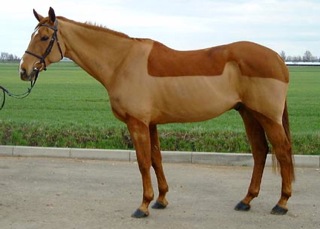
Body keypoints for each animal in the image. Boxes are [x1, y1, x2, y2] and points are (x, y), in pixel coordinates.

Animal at [19, 7, 296, 218]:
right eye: (33, 35)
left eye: (44, 37)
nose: (24, 70)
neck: (122, 62)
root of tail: (278, 59)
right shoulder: (150, 124)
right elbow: (156, 159)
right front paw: (161, 199)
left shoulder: (137, 123)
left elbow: (143, 163)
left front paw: (143, 205)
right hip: (249, 114)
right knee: (260, 152)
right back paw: (246, 200)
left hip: (267, 117)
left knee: (282, 152)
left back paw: (281, 203)